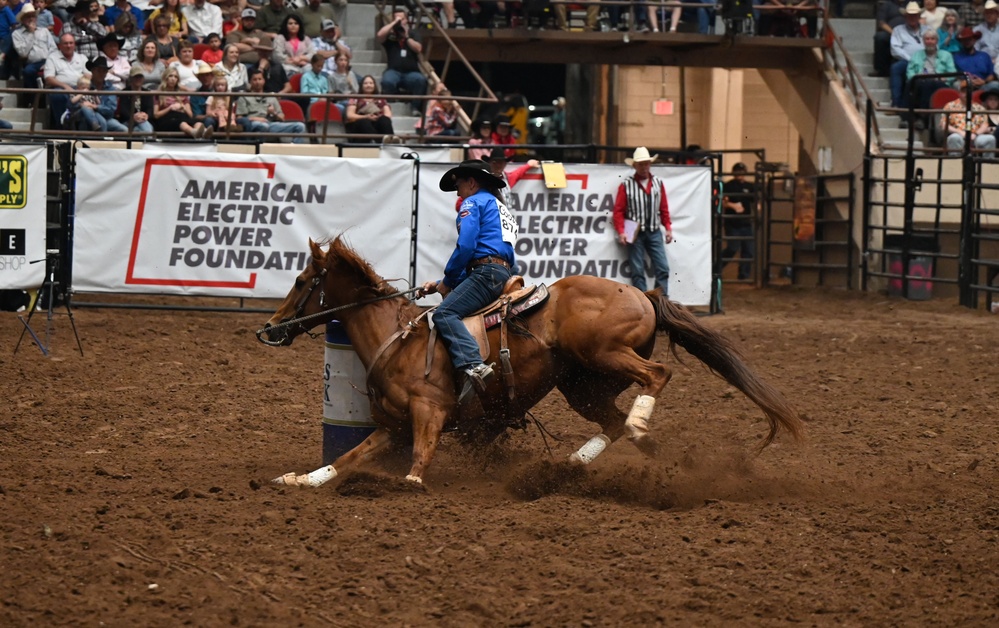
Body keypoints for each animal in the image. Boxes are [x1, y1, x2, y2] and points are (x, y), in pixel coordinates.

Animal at [258, 238, 804, 488]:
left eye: (302, 280)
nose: (270, 327)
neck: (400, 338)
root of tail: (642, 292)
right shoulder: (391, 425)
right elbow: (348, 457)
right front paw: (301, 480)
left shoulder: (429, 414)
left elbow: (418, 463)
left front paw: (406, 486)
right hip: (582, 385)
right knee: (612, 422)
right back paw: (569, 466)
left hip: (607, 355)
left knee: (657, 377)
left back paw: (637, 427)